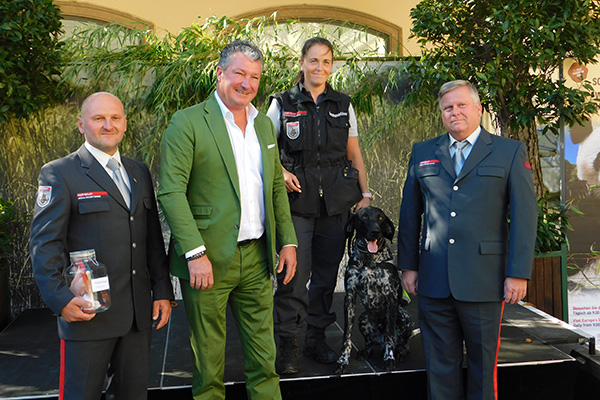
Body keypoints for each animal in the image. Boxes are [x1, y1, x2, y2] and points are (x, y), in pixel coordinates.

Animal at [336, 208, 414, 374]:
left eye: (381, 218)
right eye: (364, 217)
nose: (375, 231)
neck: (368, 261)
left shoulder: (391, 297)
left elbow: (390, 334)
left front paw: (389, 359)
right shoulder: (349, 298)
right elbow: (347, 336)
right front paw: (343, 360)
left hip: (405, 318)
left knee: (402, 344)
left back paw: (399, 352)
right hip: (363, 318)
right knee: (370, 343)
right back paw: (365, 351)